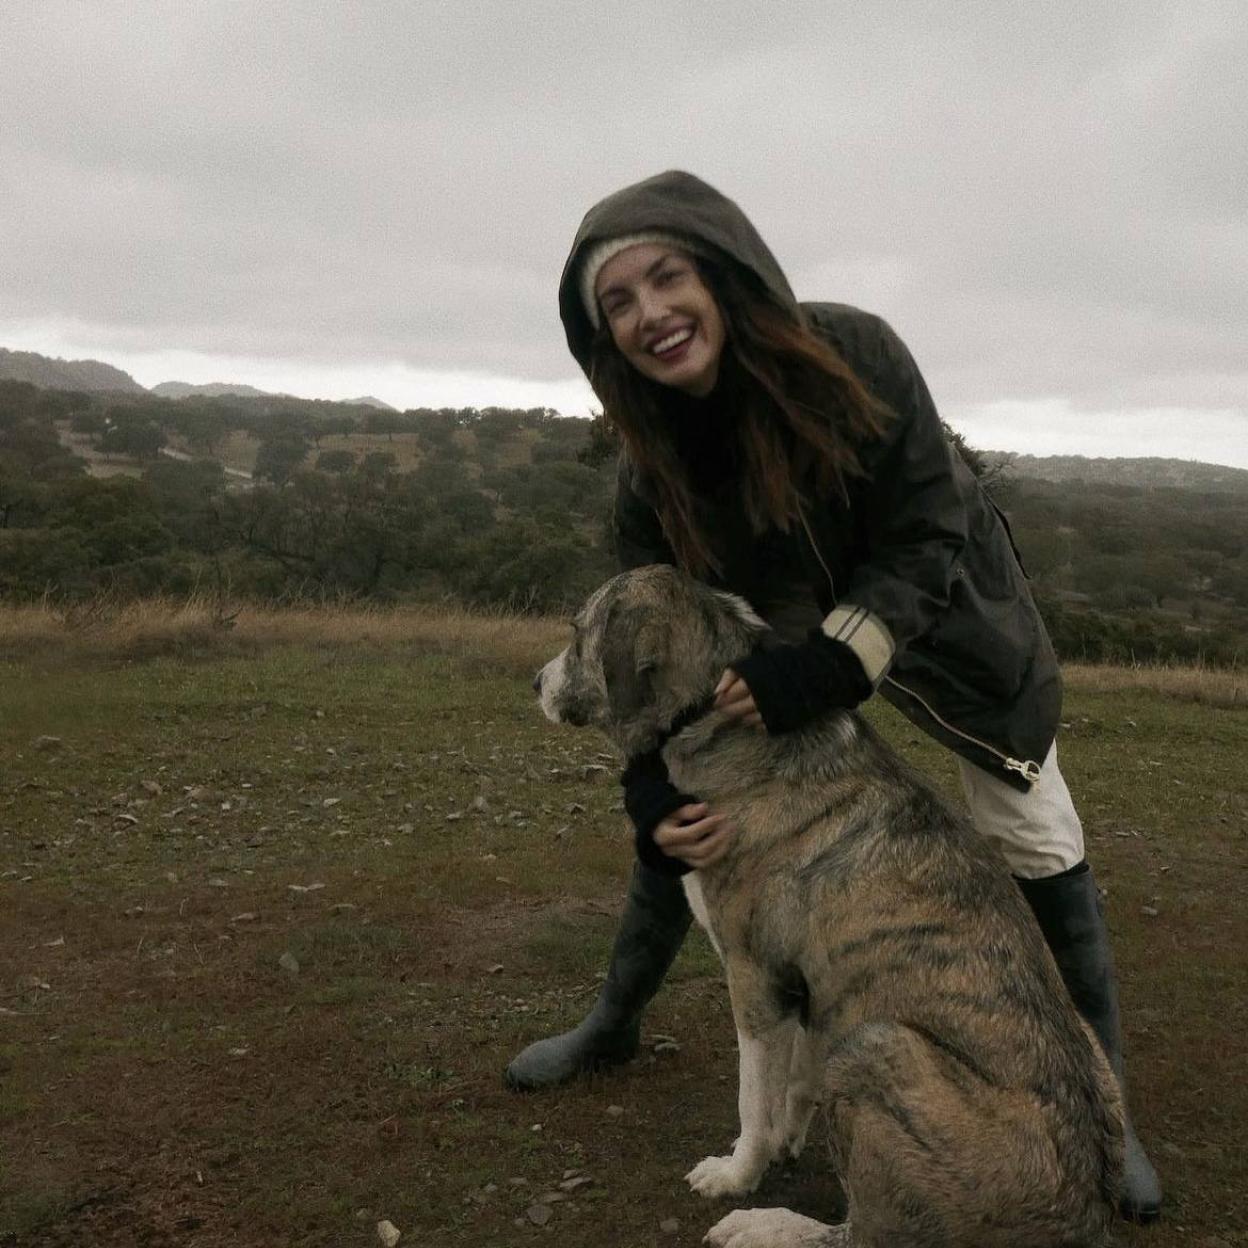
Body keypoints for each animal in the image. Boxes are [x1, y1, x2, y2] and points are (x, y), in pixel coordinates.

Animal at [534, 569, 1123, 1248]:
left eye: (578, 631)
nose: (536, 682)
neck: (712, 711)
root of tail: (1080, 1217)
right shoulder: (811, 984)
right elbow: (794, 1080)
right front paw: (786, 1140)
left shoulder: (754, 976)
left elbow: (754, 1097)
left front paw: (737, 1173)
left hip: (876, 1046)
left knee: (861, 1236)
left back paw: (762, 1224)